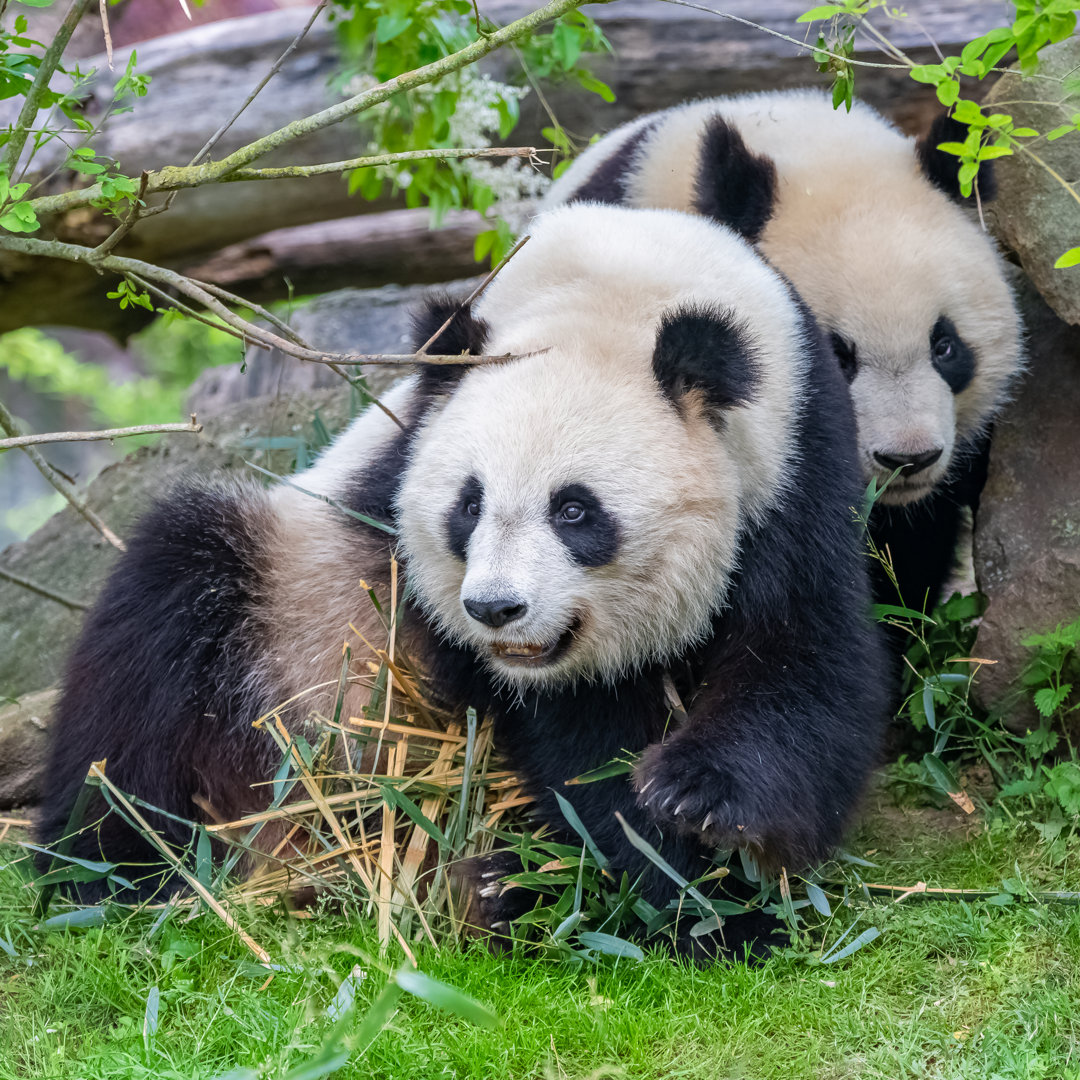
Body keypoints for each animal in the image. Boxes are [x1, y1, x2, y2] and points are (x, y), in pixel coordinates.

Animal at [39, 204, 885, 963]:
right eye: (468, 504)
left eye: (574, 510)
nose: (495, 609)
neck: (619, 287)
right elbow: (581, 749)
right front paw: (690, 894)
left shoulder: (797, 463)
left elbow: (805, 658)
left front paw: (701, 809)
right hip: (282, 618)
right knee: (152, 644)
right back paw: (112, 874)